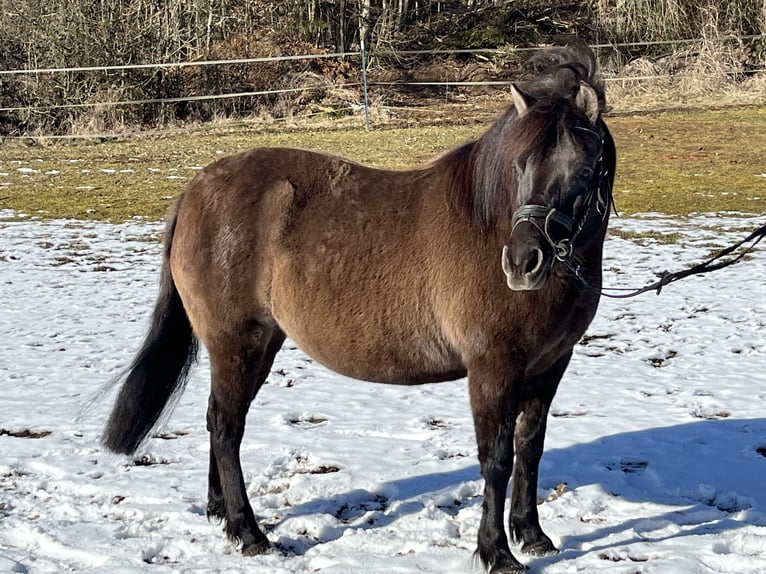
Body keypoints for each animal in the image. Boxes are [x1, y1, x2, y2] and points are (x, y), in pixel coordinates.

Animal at [102, 42, 616, 572]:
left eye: (583, 170)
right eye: (519, 166)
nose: (521, 263)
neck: (489, 223)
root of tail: (194, 191)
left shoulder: (548, 367)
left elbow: (529, 449)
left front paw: (531, 535)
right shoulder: (493, 369)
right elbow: (496, 459)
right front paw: (496, 552)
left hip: (258, 346)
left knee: (220, 419)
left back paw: (221, 513)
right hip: (237, 345)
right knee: (226, 427)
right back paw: (248, 532)